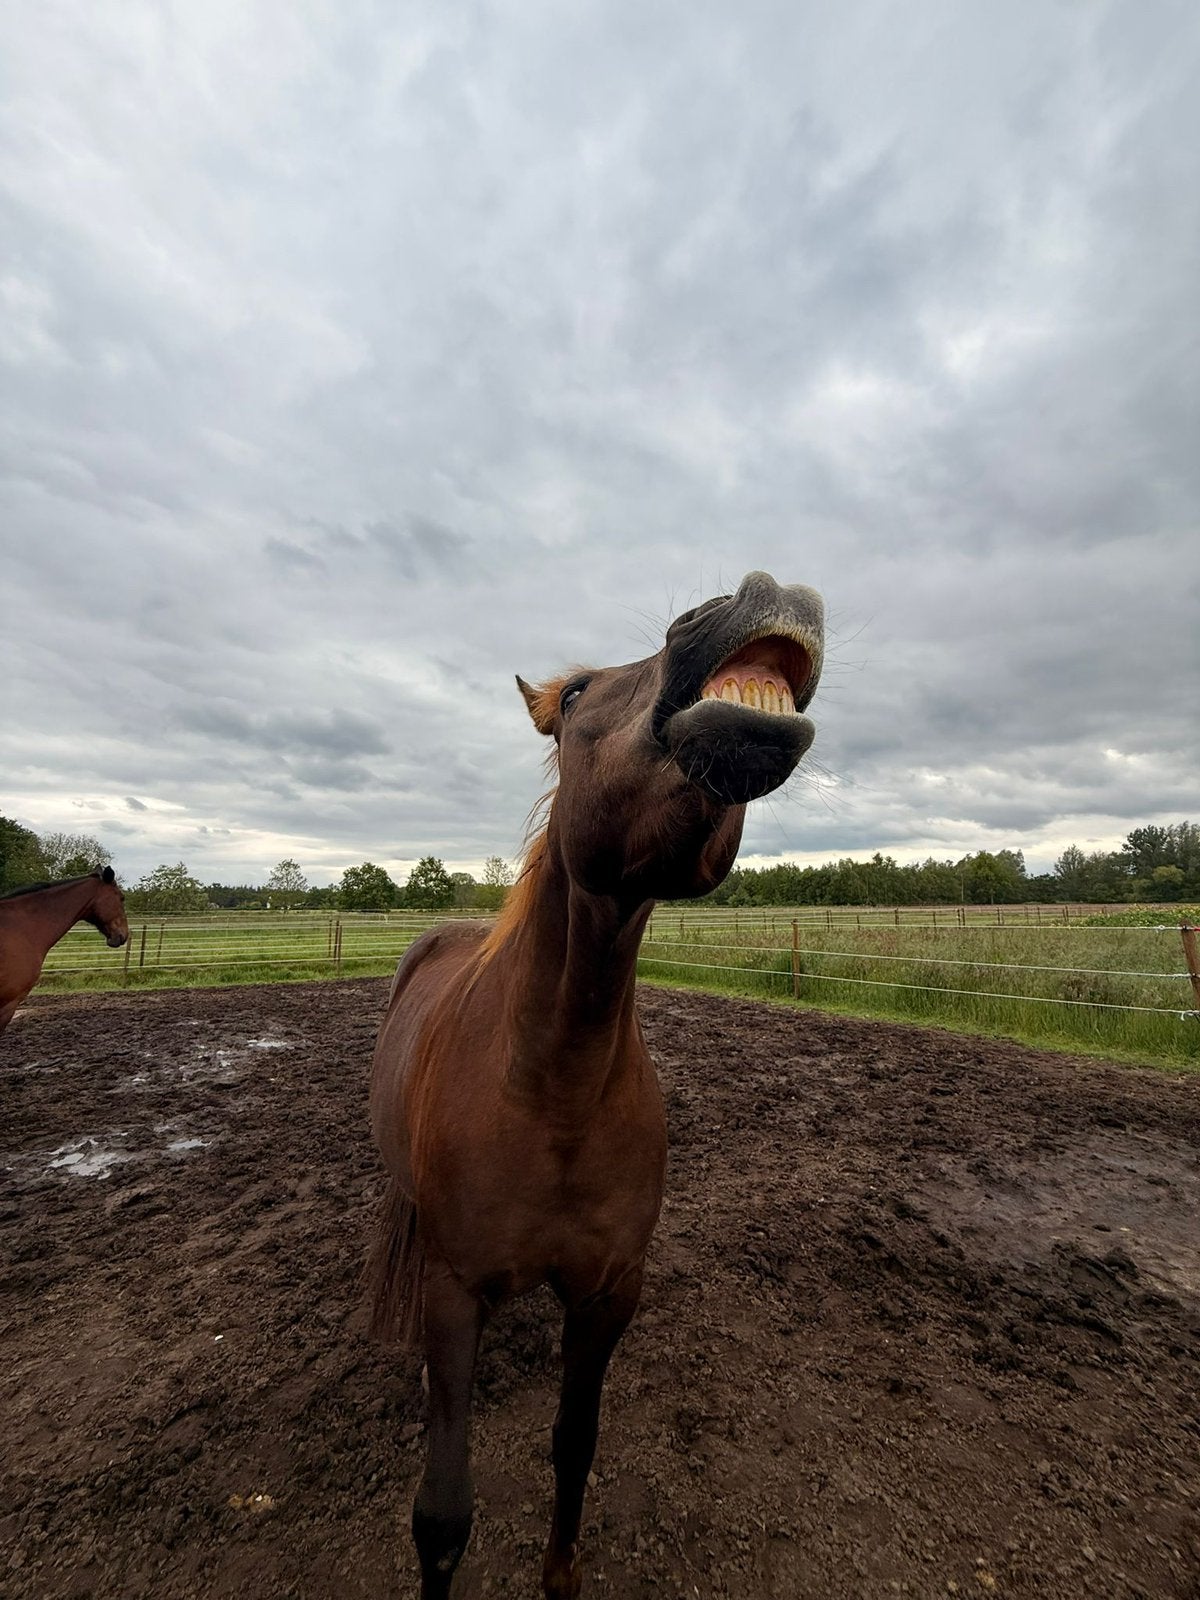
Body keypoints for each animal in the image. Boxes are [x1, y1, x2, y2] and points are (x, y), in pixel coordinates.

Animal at [367, 570, 824, 1598]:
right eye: (574, 696)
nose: (762, 589)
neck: (554, 1091)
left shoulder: (611, 1291)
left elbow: (574, 1445)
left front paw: (561, 1575)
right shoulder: (453, 1291)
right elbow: (442, 1515)